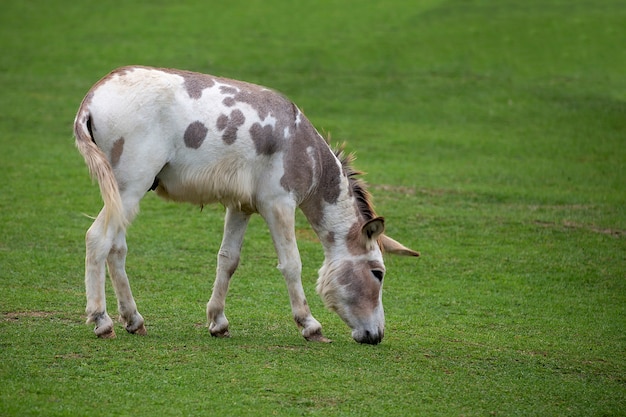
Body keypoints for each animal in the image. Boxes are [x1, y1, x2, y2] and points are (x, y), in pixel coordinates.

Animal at [73, 66, 416, 344]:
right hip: (130, 187)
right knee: (96, 239)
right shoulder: (279, 204)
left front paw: (218, 322)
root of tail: (92, 96)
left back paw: (133, 320)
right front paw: (310, 325)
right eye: (378, 273)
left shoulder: (240, 207)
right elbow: (291, 263)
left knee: (116, 249)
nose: (377, 337)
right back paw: (102, 321)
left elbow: (228, 260)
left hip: (123, 194)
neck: (304, 149)